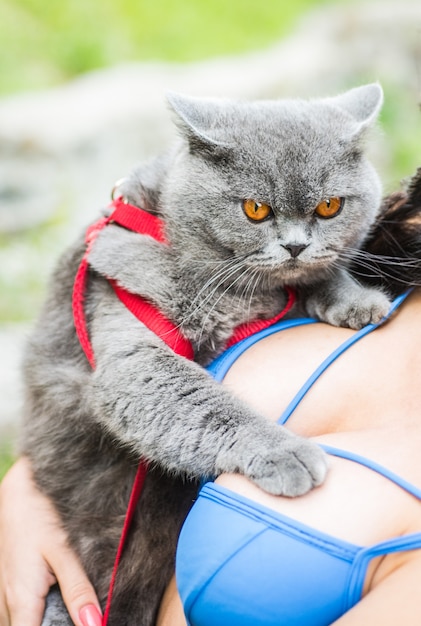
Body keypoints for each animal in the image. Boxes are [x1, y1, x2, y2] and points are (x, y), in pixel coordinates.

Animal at [20, 84, 388, 624]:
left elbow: (316, 276)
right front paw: (285, 453)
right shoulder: (132, 352)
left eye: (329, 206)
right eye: (255, 209)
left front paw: (357, 300)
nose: (296, 246)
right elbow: (204, 403)